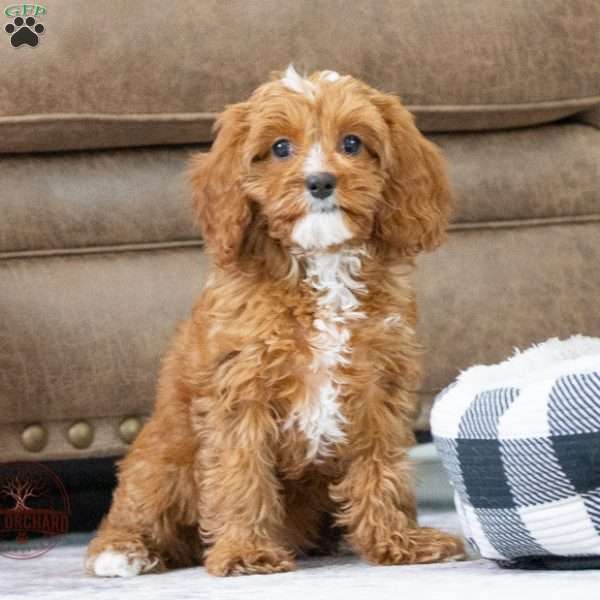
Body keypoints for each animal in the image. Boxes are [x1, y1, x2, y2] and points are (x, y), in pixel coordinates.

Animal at [86, 65, 466, 576]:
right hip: (163, 461)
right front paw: (245, 551)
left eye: (352, 143)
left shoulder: (376, 386)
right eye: (281, 148)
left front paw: (397, 541)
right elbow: (240, 472)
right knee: (136, 508)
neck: (322, 264)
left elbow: (381, 465)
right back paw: (122, 552)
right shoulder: (239, 389)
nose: (320, 182)